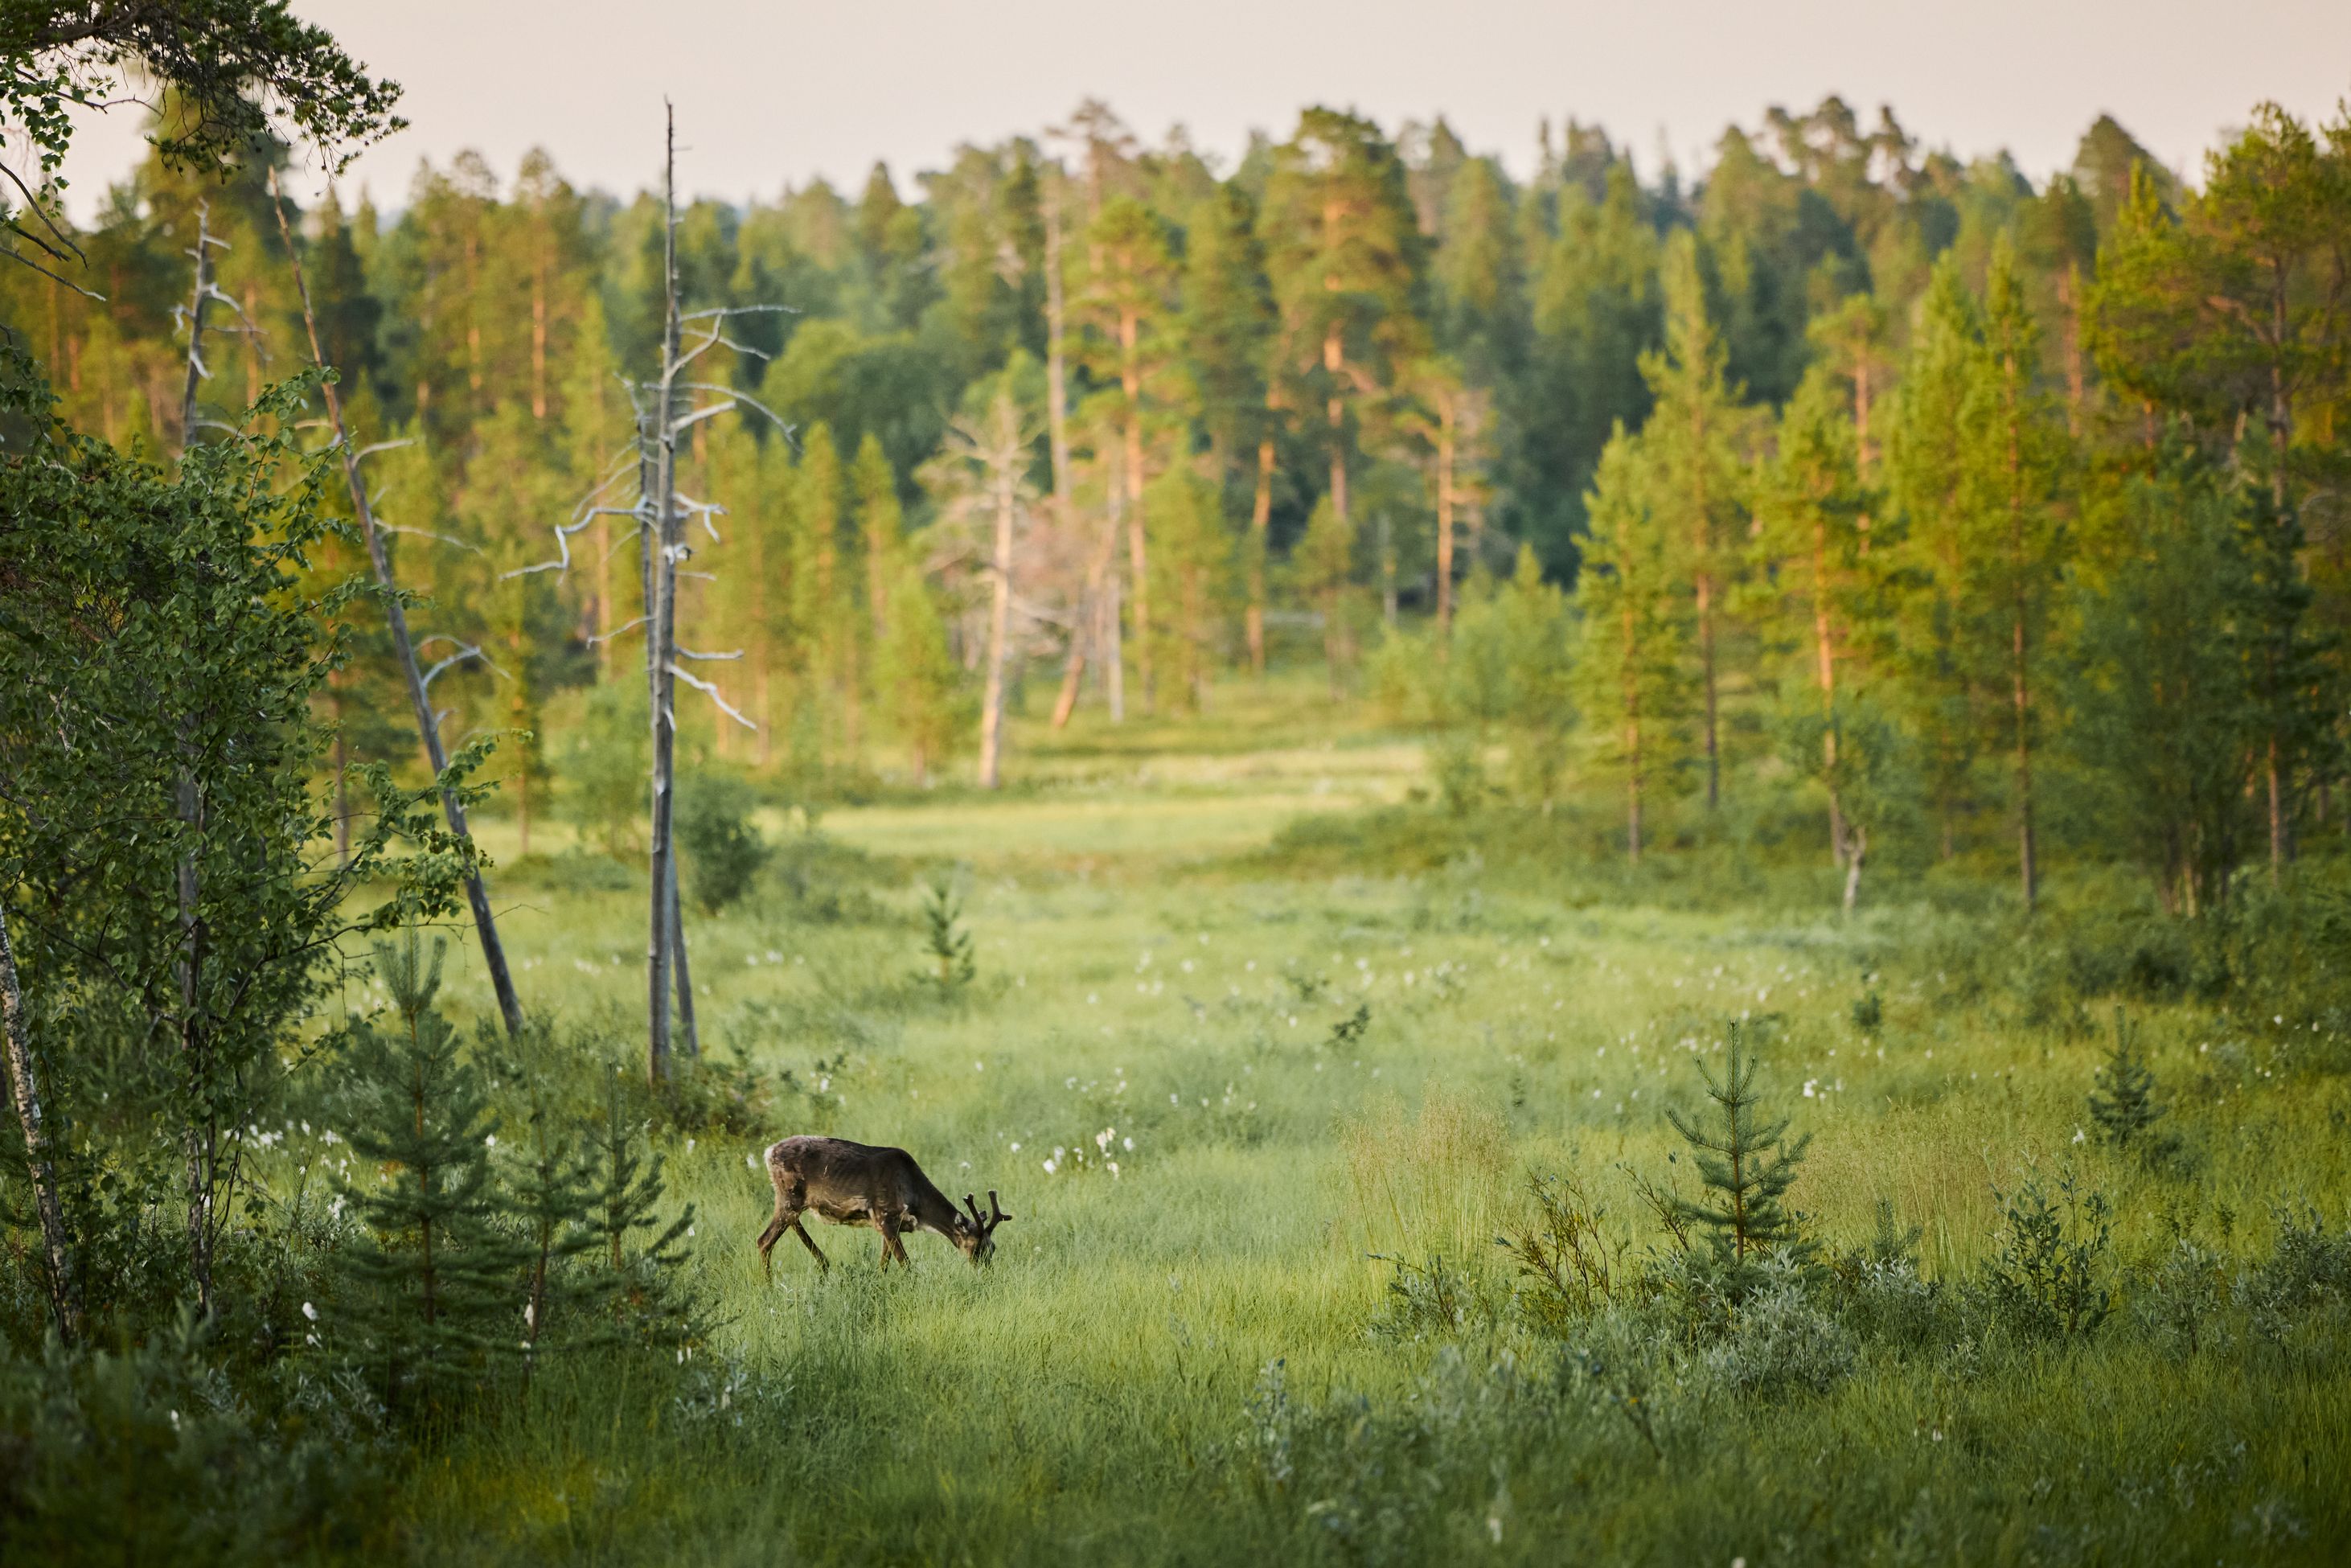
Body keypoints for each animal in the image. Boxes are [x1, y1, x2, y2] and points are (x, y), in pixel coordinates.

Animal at [755, 1135, 1011, 1277]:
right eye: (975, 1247)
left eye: (993, 1248)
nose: (988, 1275)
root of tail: (768, 1152)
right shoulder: (885, 1217)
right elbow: (906, 1266)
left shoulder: (889, 1226)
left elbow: (883, 1265)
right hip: (789, 1197)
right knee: (764, 1240)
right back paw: (769, 1287)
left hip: (793, 1200)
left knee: (789, 1226)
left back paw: (823, 1263)